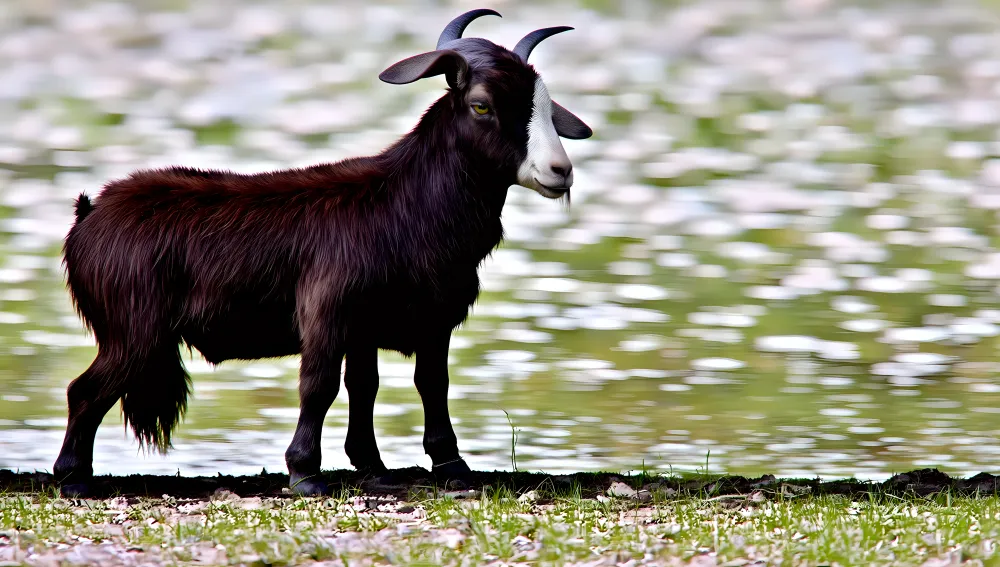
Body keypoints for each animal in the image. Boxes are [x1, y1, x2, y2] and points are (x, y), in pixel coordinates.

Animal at [52, 8, 592, 497]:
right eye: (481, 105)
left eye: (546, 106)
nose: (559, 171)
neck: (404, 203)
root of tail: (90, 212)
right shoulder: (329, 309)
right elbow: (320, 384)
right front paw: (305, 473)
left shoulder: (414, 321)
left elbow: (402, 384)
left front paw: (419, 466)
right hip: (132, 330)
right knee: (85, 389)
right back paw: (73, 478)